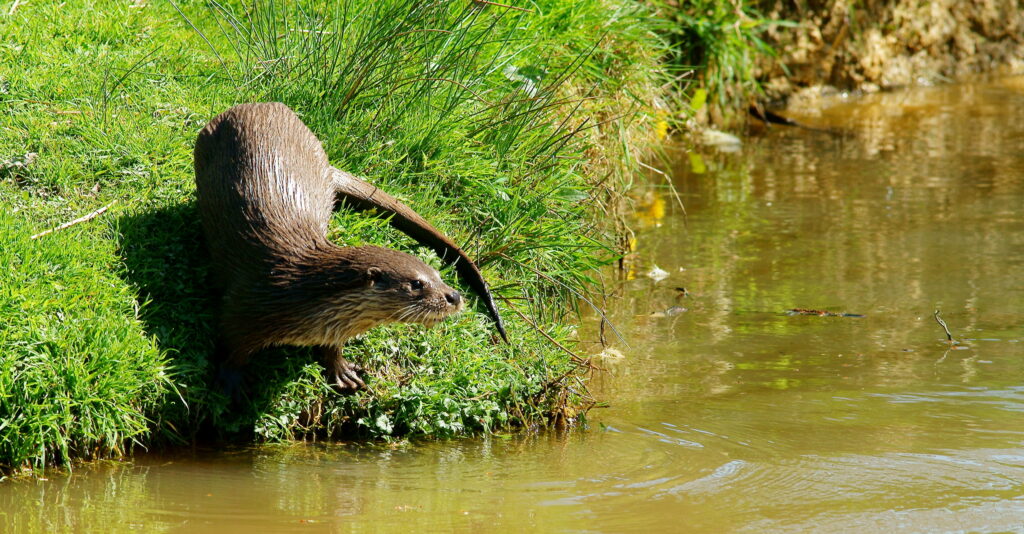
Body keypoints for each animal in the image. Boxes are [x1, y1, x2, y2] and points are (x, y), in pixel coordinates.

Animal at [194, 102, 506, 391]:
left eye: (440, 275)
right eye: (417, 283)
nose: (454, 296)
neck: (290, 290)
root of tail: (269, 104)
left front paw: (340, 368)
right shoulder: (242, 308)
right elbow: (231, 346)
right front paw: (231, 381)